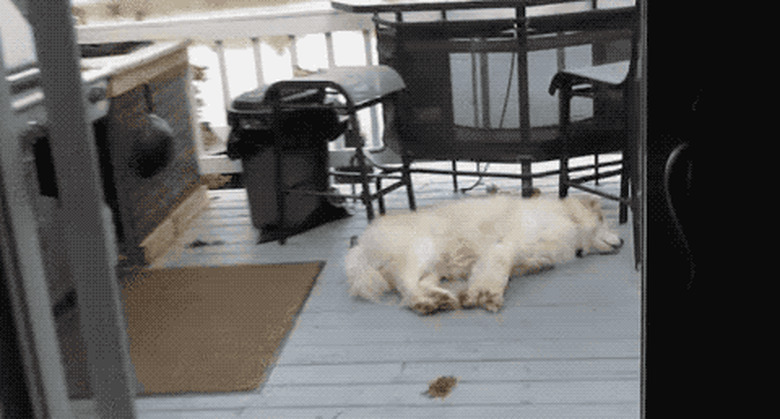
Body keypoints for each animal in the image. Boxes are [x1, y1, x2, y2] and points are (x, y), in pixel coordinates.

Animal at [344, 194, 624, 316]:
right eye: (607, 223)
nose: (622, 241)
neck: (569, 219)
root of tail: (361, 245)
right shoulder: (504, 245)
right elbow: (497, 272)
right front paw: (486, 295)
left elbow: (514, 268)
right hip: (422, 251)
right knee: (405, 285)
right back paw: (424, 303)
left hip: (434, 269)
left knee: (419, 285)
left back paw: (443, 299)